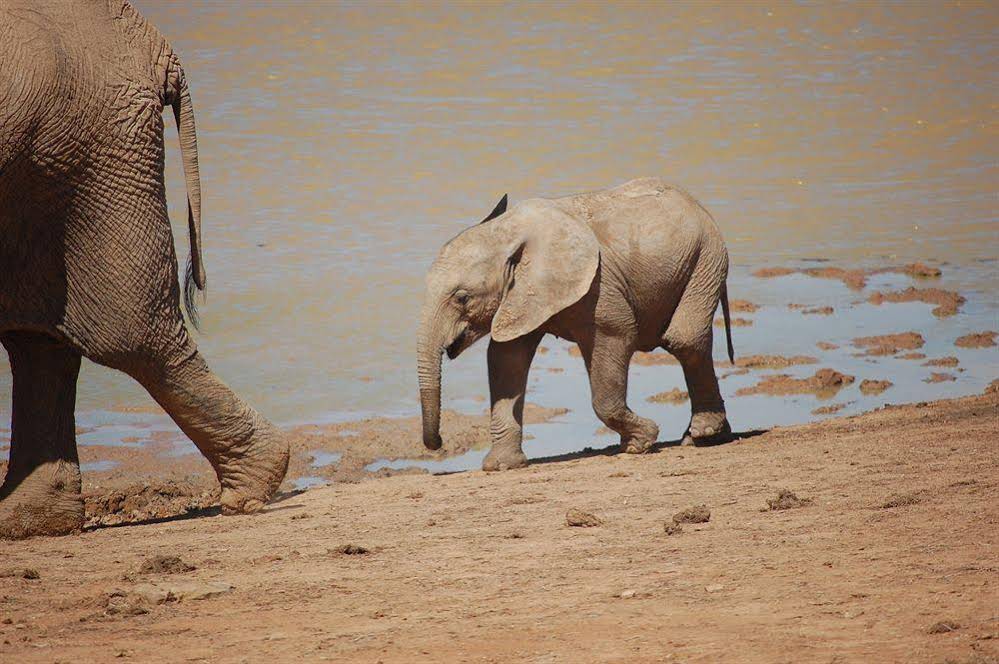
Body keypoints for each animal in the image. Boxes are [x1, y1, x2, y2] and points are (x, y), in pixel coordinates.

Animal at [0, 1, 289, 538]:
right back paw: (29, 521)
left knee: (129, 336)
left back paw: (249, 490)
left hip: (92, 153)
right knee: (40, 340)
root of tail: (155, 44)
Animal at [417, 177, 735, 471]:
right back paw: (711, 436)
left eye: (462, 298)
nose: (439, 444)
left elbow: (617, 335)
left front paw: (641, 442)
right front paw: (502, 466)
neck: (506, 231)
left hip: (706, 257)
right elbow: (506, 359)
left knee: (684, 338)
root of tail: (695, 204)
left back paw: (703, 433)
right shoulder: (522, 296)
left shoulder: (599, 286)